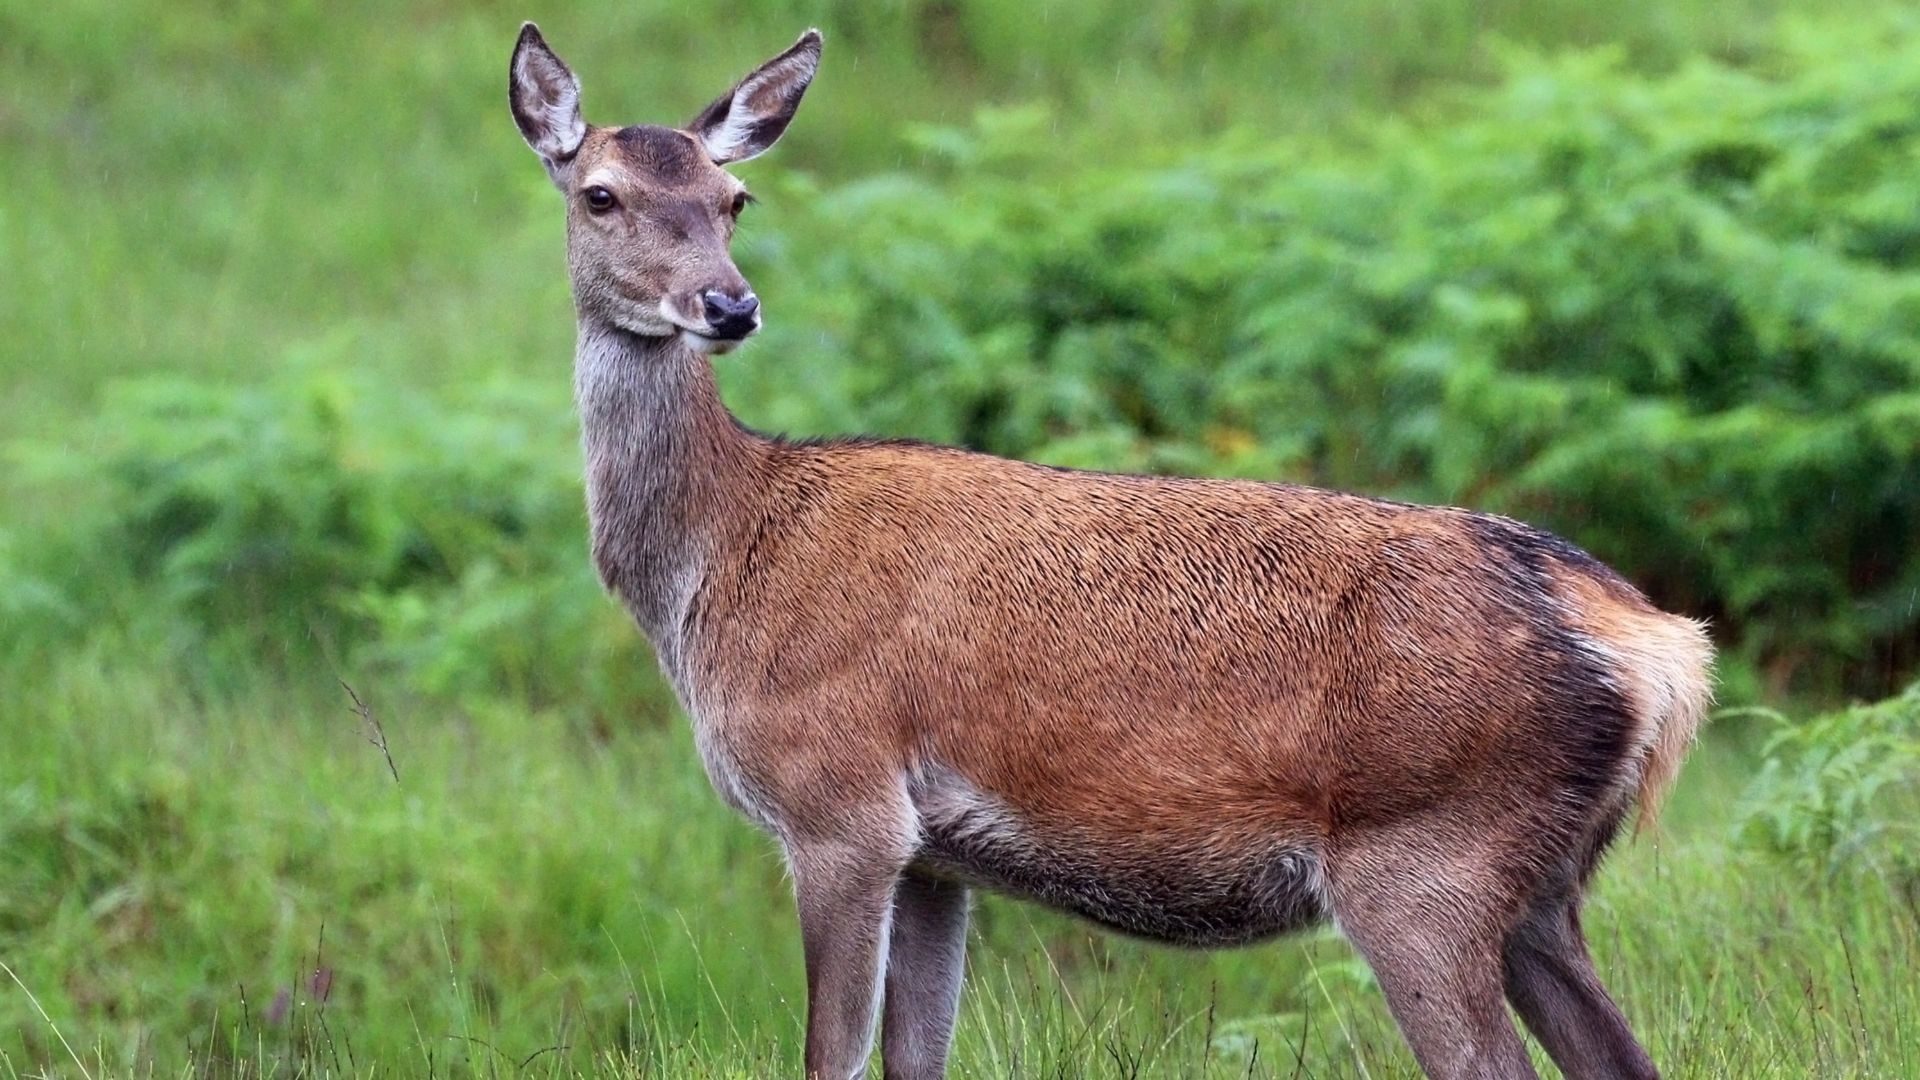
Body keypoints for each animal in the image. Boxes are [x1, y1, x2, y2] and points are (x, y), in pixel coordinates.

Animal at [507, 22, 1713, 1080]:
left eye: (735, 200)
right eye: (600, 194)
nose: (728, 304)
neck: (718, 559)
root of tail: (1657, 647)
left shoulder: (837, 803)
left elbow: (830, 1056)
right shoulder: (934, 855)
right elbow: (914, 1056)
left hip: (1428, 859)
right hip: (1546, 885)